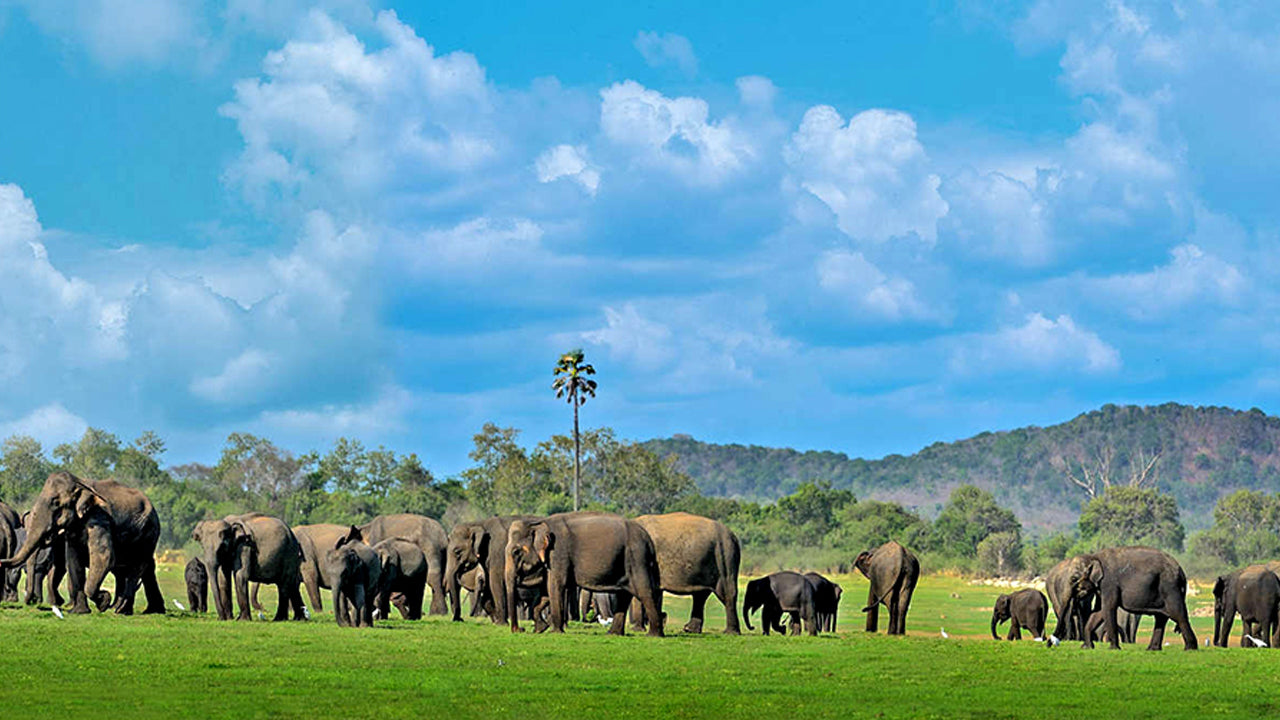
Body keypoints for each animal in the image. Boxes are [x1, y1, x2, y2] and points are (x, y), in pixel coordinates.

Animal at [0, 471, 165, 609]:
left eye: (55, 503)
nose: (1, 562)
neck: (80, 482)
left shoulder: (100, 517)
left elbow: (103, 557)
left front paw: (103, 601)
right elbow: (73, 560)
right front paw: (78, 611)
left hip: (149, 531)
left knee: (137, 566)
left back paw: (120, 609)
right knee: (135, 569)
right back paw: (136, 610)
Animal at [501, 509, 665, 632]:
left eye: (516, 552)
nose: (520, 629)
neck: (540, 523)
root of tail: (649, 540)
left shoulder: (558, 553)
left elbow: (555, 586)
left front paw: (555, 632)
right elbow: (546, 591)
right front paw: (541, 629)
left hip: (637, 558)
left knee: (645, 592)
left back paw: (654, 635)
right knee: (624, 595)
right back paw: (613, 633)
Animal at [1070, 543, 1198, 650]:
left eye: (1074, 579)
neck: (1094, 556)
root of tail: (1181, 572)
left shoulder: (1109, 583)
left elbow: (1108, 608)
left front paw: (1114, 649)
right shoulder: (1101, 587)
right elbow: (1098, 611)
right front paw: (1086, 647)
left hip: (1170, 587)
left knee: (1178, 615)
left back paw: (1190, 649)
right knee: (1161, 617)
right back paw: (1152, 649)